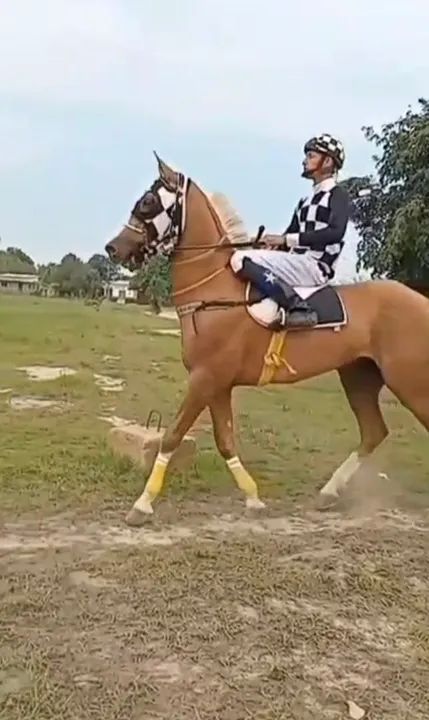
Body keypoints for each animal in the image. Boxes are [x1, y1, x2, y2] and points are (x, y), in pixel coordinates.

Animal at [105, 153, 429, 527]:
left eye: (148, 202)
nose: (112, 247)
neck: (214, 292)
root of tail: (420, 299)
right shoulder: (218, 384)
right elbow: (225, 440)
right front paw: (253, 498)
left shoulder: (204, 379)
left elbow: (171, 437)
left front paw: (142, 504)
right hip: (359, 377)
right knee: (374, 432)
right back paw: (328, 493)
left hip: (410, 382)